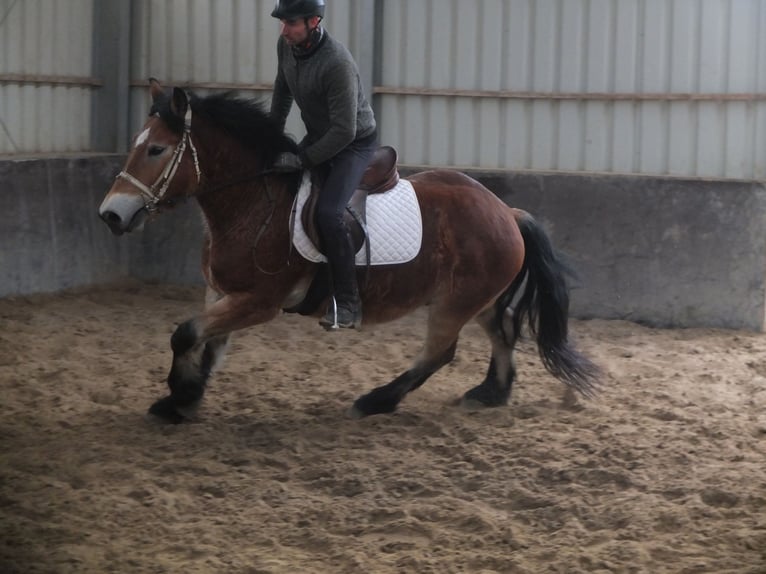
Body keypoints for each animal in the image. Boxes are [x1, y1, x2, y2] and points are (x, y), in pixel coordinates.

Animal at [97, 80, 600, 424]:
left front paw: (179, 396)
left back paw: (377, 400)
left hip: (454, 303)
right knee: (503, 332)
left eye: (157, 150)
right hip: (477, 298)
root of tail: (506, 211)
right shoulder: (222, 294)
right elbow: (205, 344)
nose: (111, 215)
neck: (253, 202)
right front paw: (183, 397)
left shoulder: (258, 301)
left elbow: (186, 334)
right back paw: (491, 393)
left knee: (439, 354)